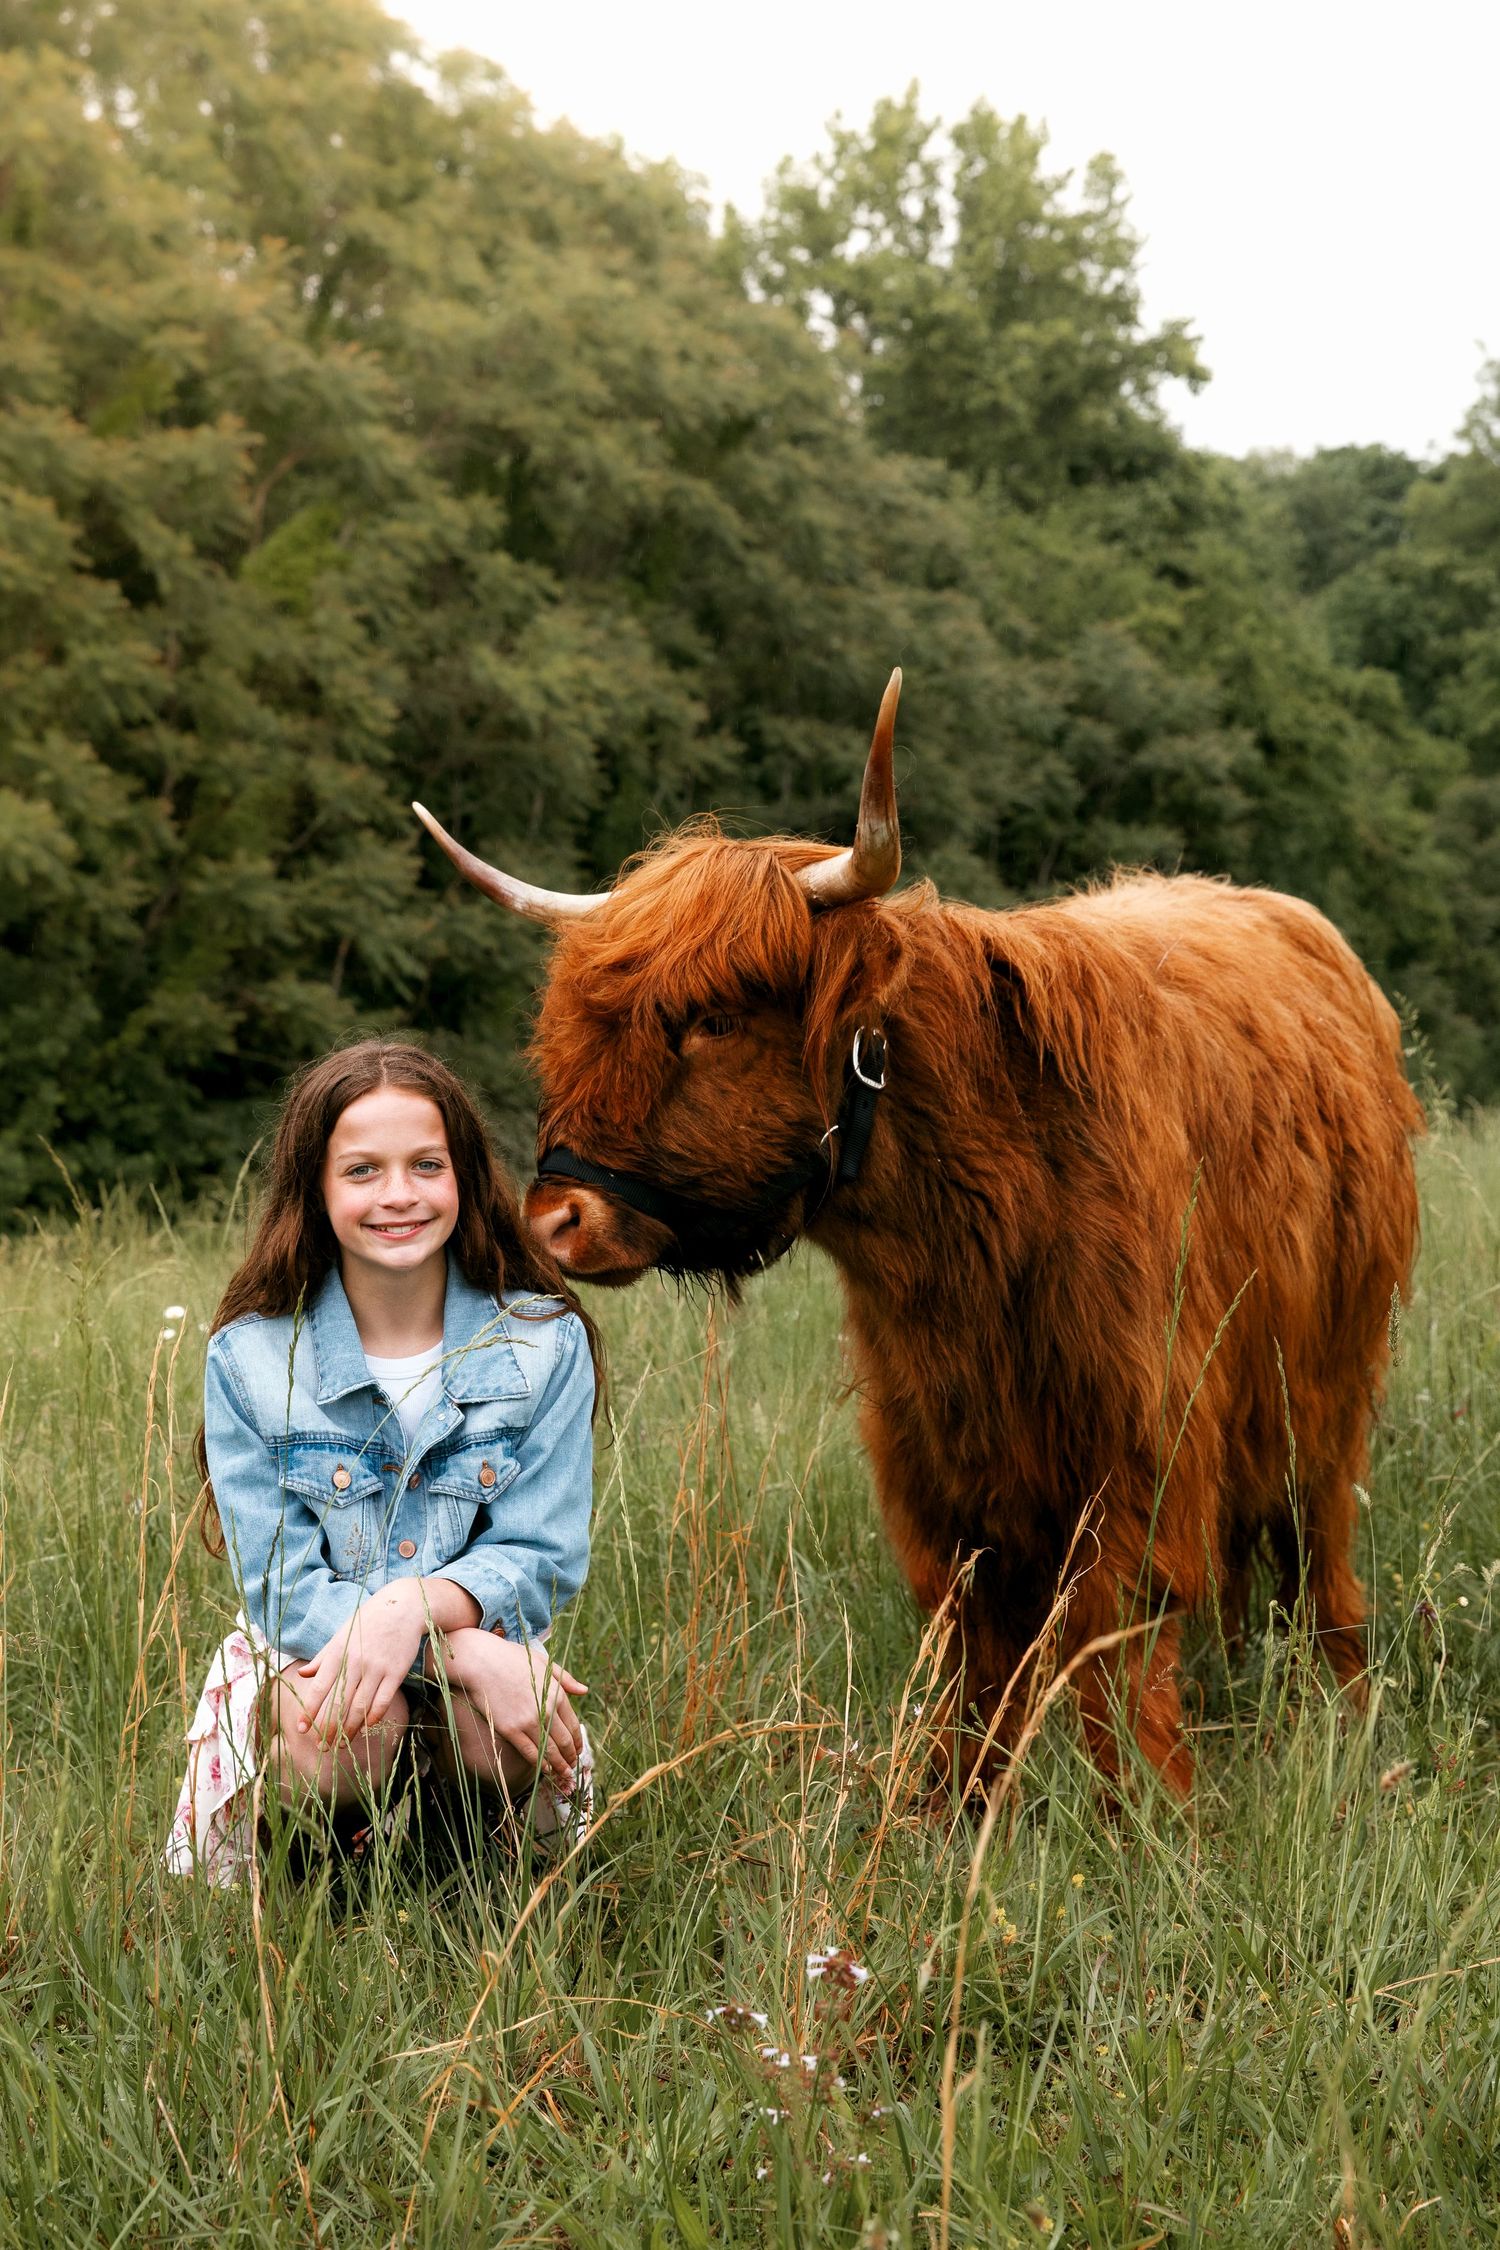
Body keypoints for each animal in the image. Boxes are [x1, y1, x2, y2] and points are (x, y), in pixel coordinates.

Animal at [413, 671, 1422, 1798]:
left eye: (713, 1020)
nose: (555, 1217)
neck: (978, 1228)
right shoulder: (934, 1454)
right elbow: (976, 1664)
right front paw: (951, 1807)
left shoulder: (1144, 1435)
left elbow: (1121, 1648)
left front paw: (1152, 1808)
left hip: (1324, 1384)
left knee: (1320, 1551)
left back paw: (1345, 1711)